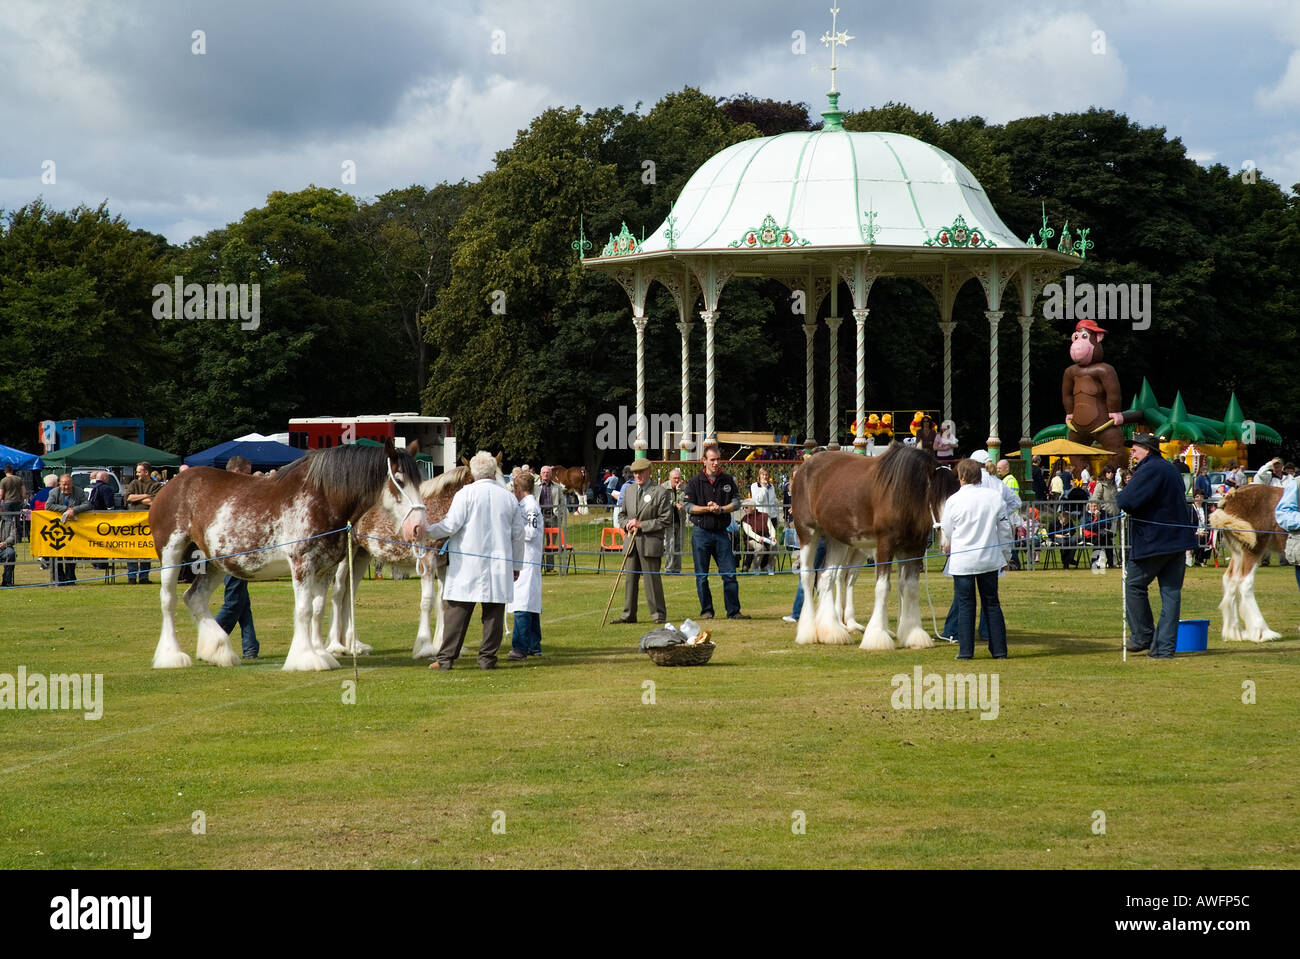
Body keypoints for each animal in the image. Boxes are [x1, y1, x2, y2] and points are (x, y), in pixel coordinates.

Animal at [148, 439, 423, 670]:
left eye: (418, 480)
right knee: (168, 600)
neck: (322, 497)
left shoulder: (325, 569)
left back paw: (218, 650)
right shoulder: (302, 564)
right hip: (171, 553)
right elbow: (304, 610)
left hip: (215, 562)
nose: (417, 526)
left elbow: (317, 609)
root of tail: (171, 484)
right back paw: (172, 656)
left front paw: (321, 653)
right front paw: (305, 658)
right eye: (399, 480)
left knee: (195, 597)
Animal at [785, 444, 961, 647]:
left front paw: (914, 634)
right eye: (934, 499)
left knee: (827, 576)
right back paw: (807, 632)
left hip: (836, 540)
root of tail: (805, 466)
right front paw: (878, 636)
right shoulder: (885, 545)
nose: (948, 544)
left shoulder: (913, 548)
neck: (903, 494)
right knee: (808, 576)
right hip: (808, 533)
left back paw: (832, 631)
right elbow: (883, 588)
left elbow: (910, 588)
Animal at [1206, 485, 1289, 641]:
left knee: (1230, 580)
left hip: (1238, 552)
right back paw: (1262, 631)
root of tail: (1231, 497)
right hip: (1254, 548)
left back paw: (1234, 632)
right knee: (1245, 583)